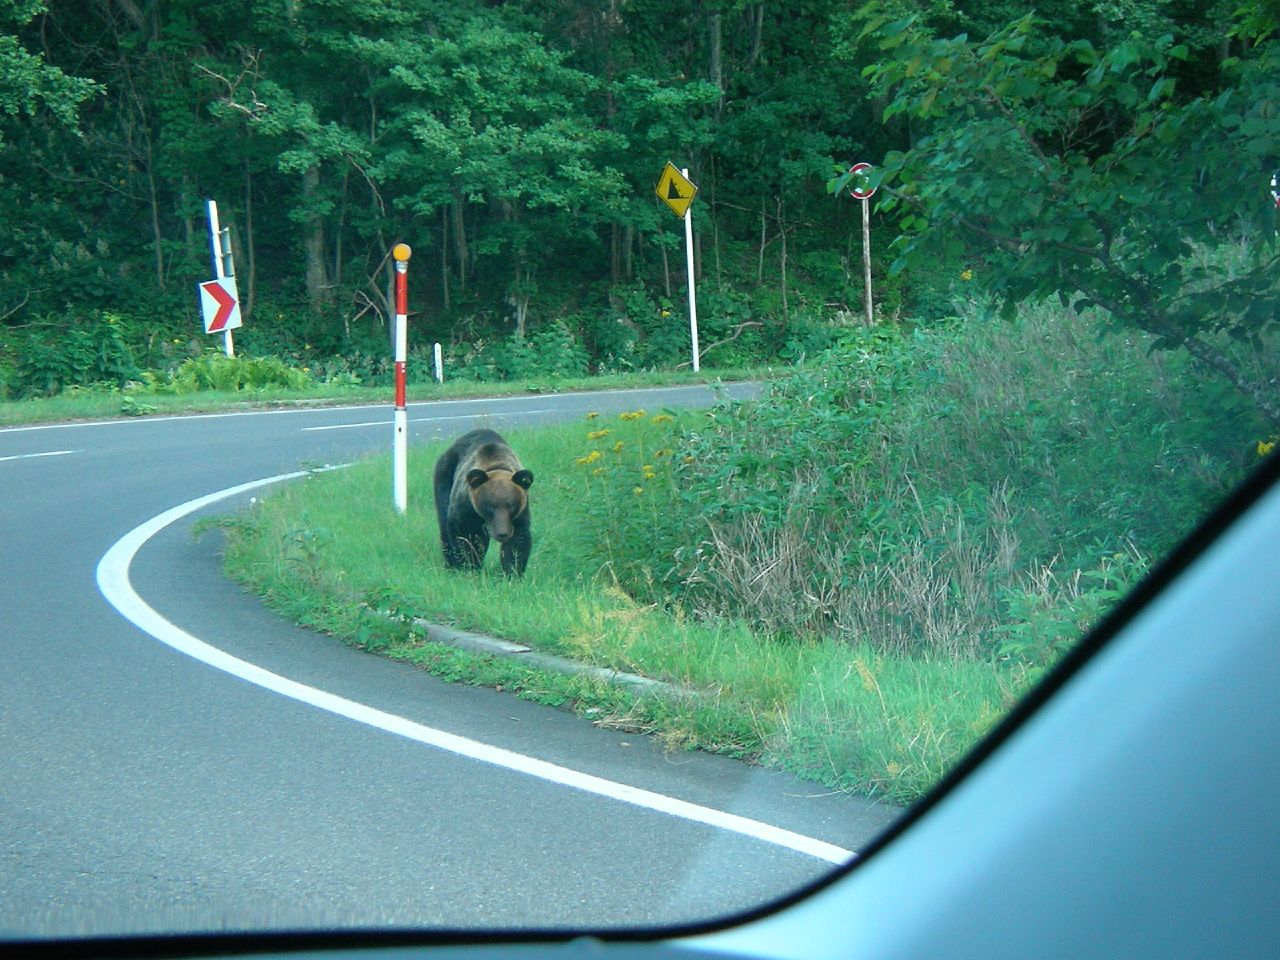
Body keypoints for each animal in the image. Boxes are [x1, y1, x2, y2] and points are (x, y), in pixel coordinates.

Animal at [430, 430, 529, 578]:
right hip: (445, 477)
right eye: (490, 506)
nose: (502, 533)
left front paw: (513, 572)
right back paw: (450, 564)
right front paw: (468, 566)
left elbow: (517, 543)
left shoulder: (519, 515)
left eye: (511, 505)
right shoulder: (466, 509)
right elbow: (465, 538)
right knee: (444, 525)